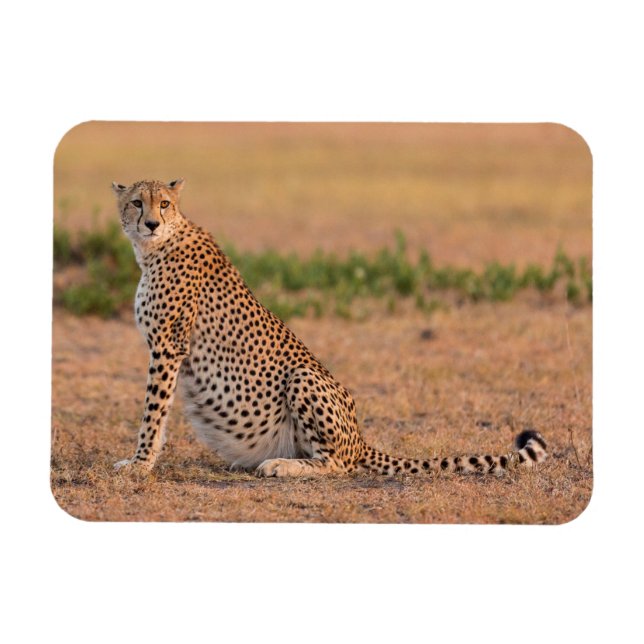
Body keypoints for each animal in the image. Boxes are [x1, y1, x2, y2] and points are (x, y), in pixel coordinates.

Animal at [112, 178, 547, 477]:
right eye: (136, 202)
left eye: (164, 203)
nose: (151, 223)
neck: (155, 248)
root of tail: (361, 439)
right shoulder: (168, 350)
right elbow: (160, 413)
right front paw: (142, 461)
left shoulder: (168, 347)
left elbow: (153, 413)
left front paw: (139, 464)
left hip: (303, 376)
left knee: (337, 464)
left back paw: (282, 466)